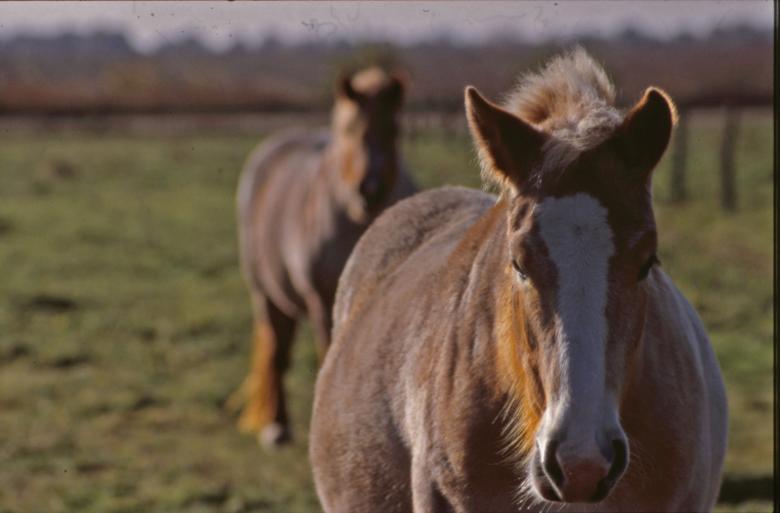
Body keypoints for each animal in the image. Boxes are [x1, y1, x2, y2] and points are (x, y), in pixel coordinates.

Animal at [231, 66, 416, 448]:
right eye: (349, 129)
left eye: (393, 129)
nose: (369, 189)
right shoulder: (321, 301)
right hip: (266, 294)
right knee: (277, 354)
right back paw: (277, 426)